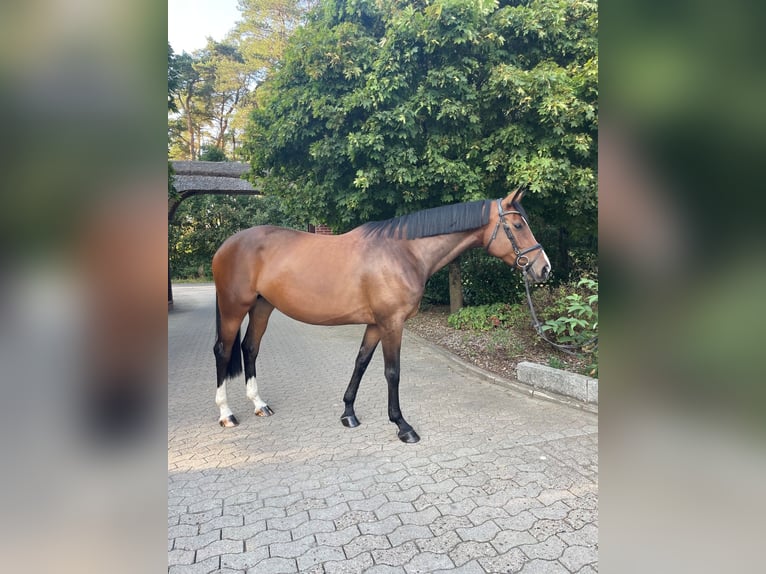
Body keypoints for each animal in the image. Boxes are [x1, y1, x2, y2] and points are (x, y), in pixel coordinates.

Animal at [212, 187, 551, 443]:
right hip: (233, 309)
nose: (543, 268)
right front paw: (403, 426)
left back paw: (259, 405)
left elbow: (361, 363)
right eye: (518, 226)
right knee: (224, 351)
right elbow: (392, 372)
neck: (404, 252)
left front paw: (348, 414)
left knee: (250, 348)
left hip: (262, 307)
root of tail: (226, 245)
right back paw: (226, 414)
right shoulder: (392, 323)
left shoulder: (375, 324)